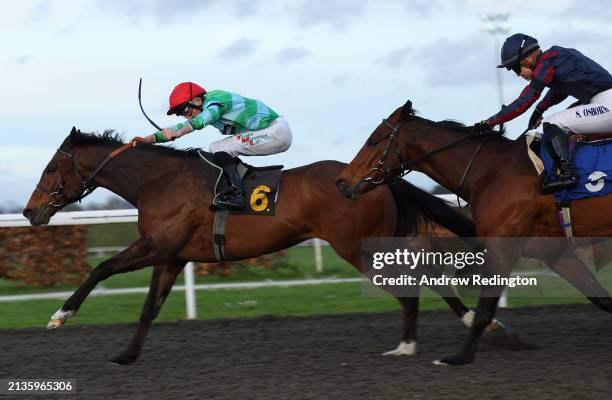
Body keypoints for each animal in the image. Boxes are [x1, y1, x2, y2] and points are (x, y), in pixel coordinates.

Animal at [22, 128, 478, 366]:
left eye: (50, 168)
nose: (29, 211)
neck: (159, 181)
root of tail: (369, 179)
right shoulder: (173, 256)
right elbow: (150, 306)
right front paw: (127, 355)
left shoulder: (155, 245)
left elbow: (101, 269)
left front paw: (59, 316)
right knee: (425, 275)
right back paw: (471, 321)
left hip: (357, 246)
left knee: (412, 281)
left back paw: (416, 341)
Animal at [334, 100, 612, 366]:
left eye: (373, 140)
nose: (341, 181)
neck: (490, 171)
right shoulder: (553, 253)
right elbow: (600, 296)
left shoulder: (501, 249)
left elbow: (483, 312)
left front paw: (458, 358)